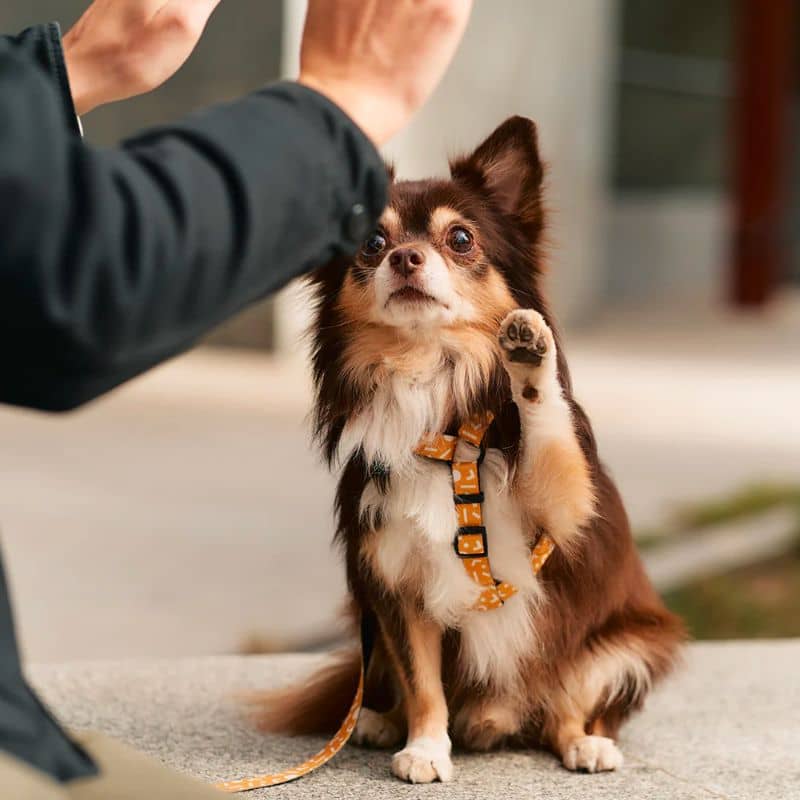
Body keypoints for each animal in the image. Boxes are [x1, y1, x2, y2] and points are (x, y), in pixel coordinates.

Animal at [253, 117, 684, 780]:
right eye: (371, 243)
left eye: (460, 238)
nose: (405, 256)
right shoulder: (395, 586)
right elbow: (422, 683)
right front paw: (427, 748)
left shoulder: (563, 518)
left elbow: (547, 430)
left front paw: (529, 357)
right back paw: (378, 720)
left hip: (631, 639)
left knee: (569, 698)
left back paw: (585, 742)